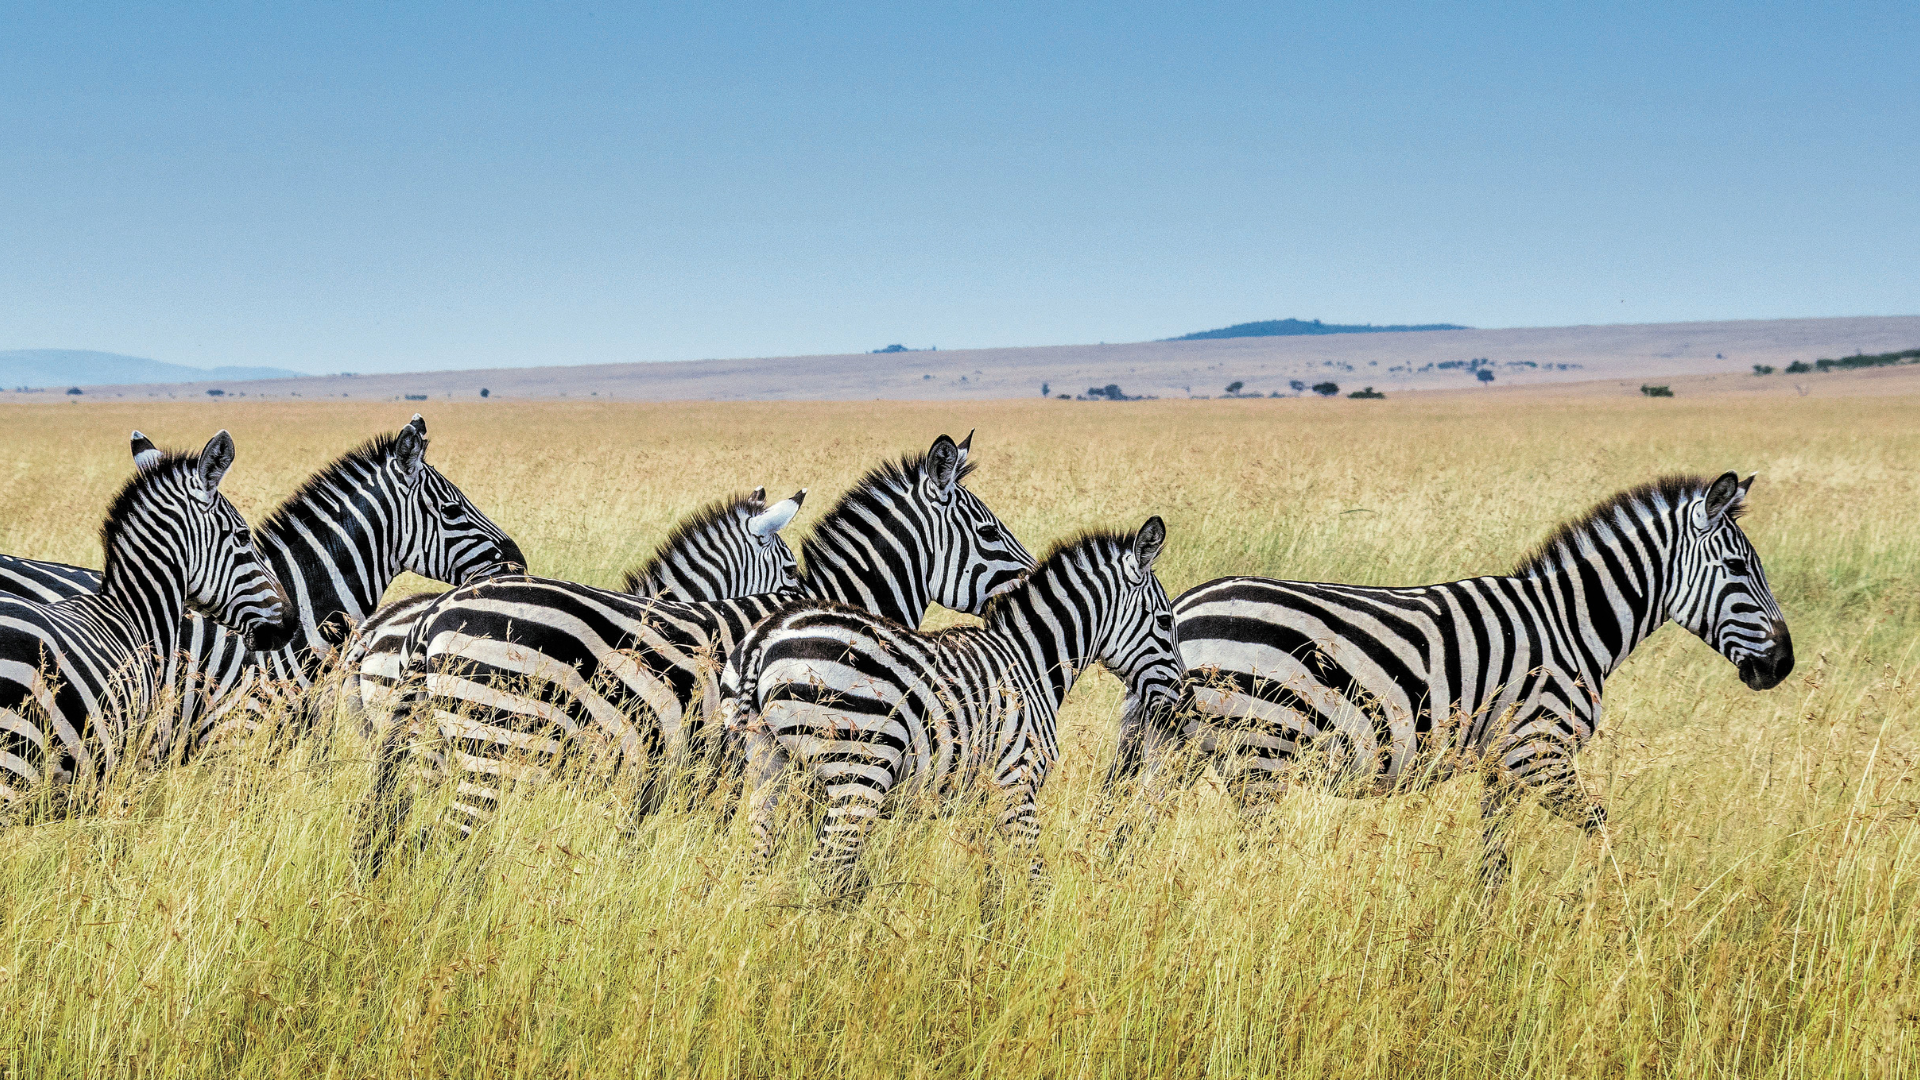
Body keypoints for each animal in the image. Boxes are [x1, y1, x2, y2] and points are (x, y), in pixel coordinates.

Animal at [720, 517, 1179, 898]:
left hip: (768, 766)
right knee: (826, 868)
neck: (1031, 662)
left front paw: (989, 934)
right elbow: (1034, 876)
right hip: (858, 771)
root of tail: (766, 637)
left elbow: (991, 877)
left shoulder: (980, 796)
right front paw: (1038, 933)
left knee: (756, 866)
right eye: (1164, 621)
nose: (1182, 700)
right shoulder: (1017, 783)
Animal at [1104, 472, 1794, 884]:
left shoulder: (1503, 763)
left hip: (1179, 751)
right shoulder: (1538, 752)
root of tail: (1183, 609)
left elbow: (1494, 857)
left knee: (1130, 834)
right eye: (1740, 569)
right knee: (1248, 853)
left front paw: (1487, 931)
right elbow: (1602, 825)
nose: (1782, 665)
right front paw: (1619, 908)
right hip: (1258, 754)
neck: (1572, 624)